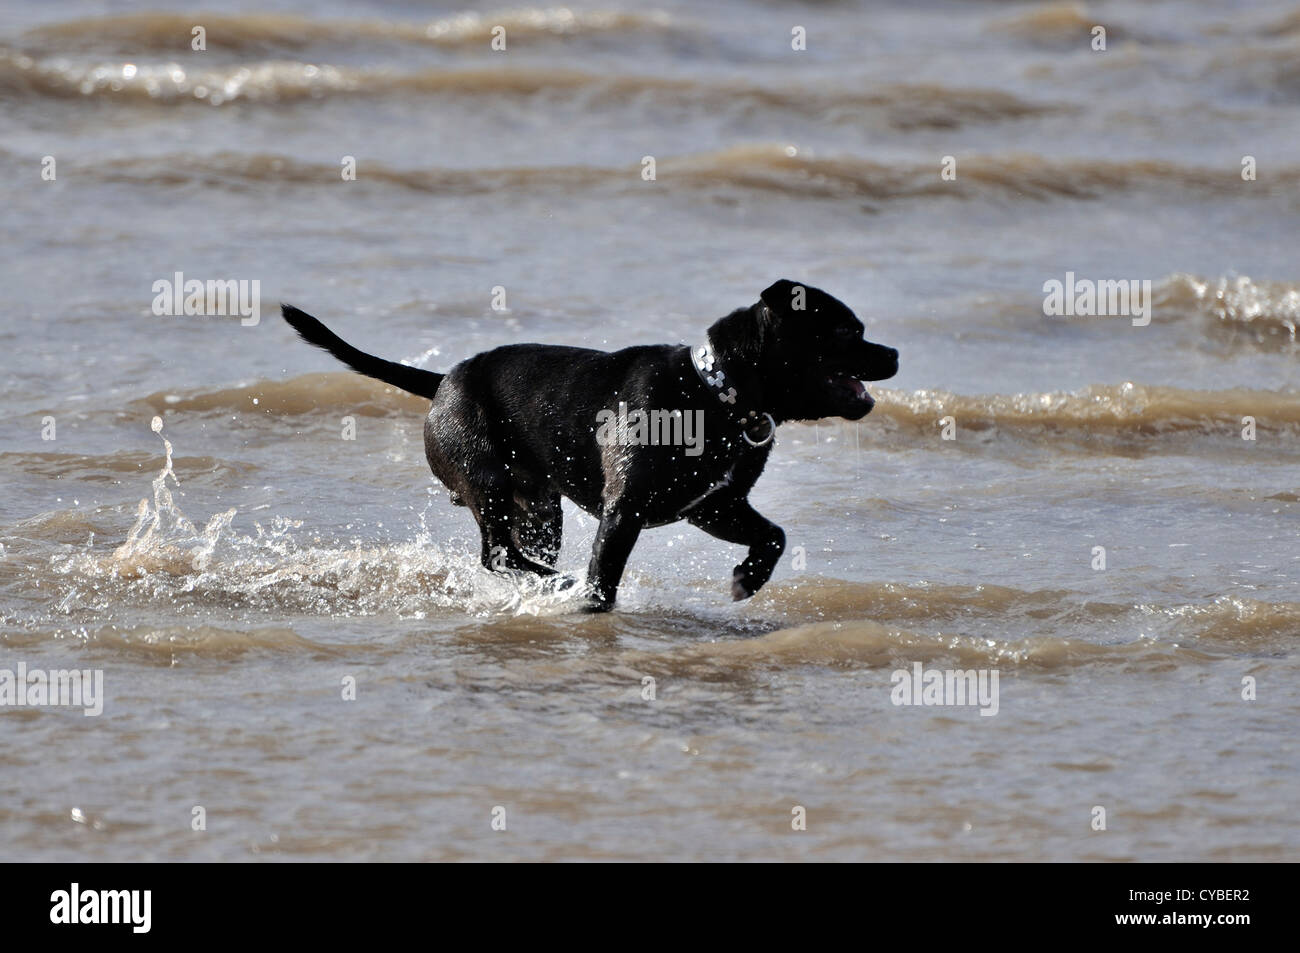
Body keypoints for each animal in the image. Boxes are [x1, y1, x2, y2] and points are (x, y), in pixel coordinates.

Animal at [280, 278, 899, 613]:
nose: (893, 353)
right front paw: (593, 606)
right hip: (486, 480)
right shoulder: (624, 511)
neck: (716, 393)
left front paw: (749, 578)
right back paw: (560, 584)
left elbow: (774, 534)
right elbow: (606, 574)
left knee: (513, 552)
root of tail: (443, 383)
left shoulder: (715, 506)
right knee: (496, 551)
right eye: (848, 332)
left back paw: (549, 581)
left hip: (539, 508)